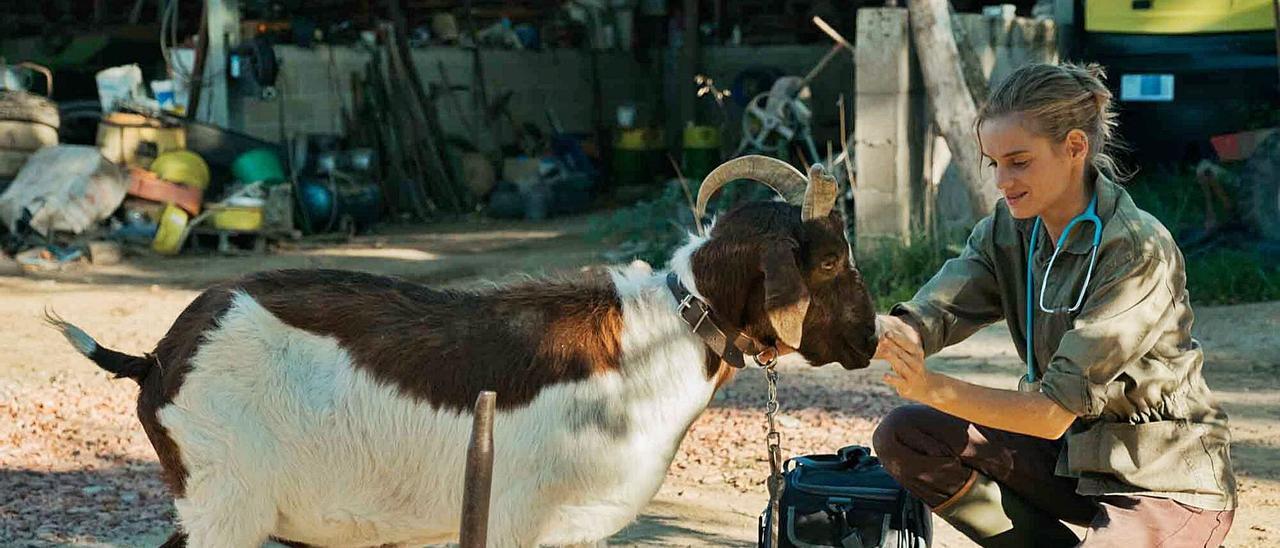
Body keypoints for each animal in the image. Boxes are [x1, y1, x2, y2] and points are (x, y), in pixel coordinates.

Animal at [47, 156, 870, 545]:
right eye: (830, 258)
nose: (869, 336)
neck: (655, 338)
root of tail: (159, 358)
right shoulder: (524, 524)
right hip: (226, 505)